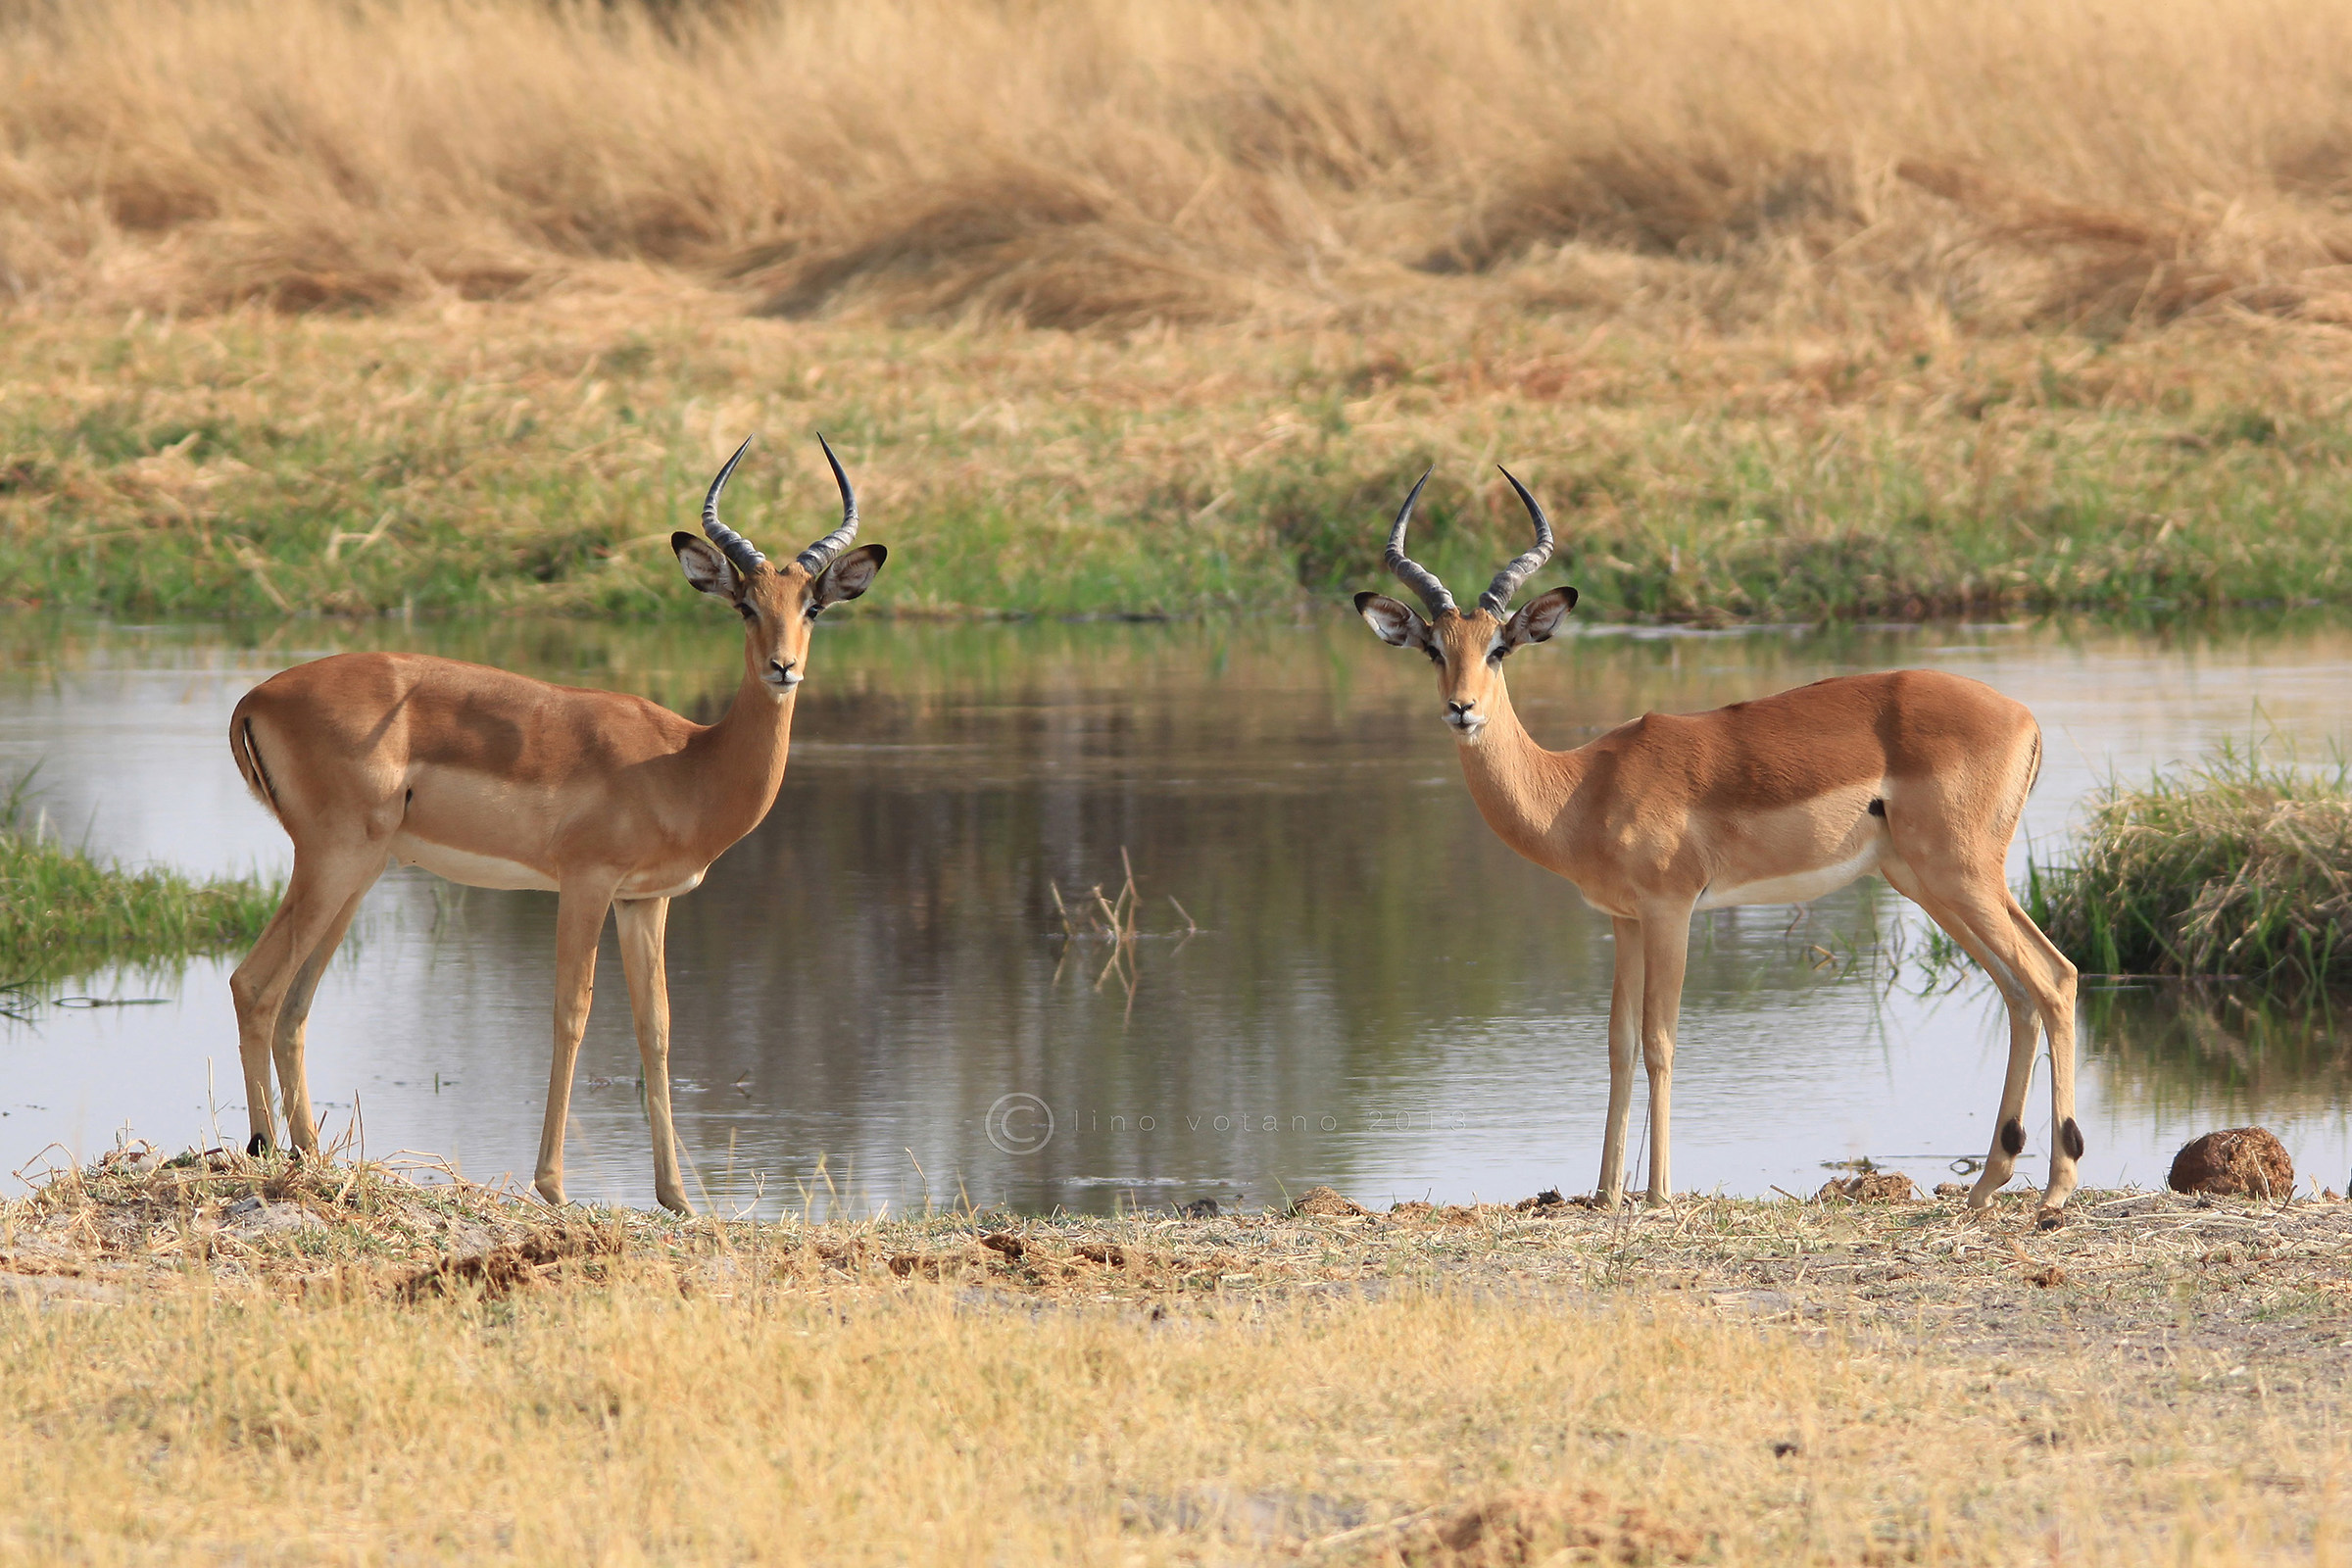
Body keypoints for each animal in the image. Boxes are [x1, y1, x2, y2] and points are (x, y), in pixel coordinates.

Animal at [227, 436, 884, 1214]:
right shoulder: (586, 884)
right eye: (746, 606)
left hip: (356, 875)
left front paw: (678, 1198)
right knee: (254, 985)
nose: (783, 668)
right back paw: (266, 1150)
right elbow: (572, 1012)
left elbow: (656, 1029)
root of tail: (255, 697)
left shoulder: (645, 901)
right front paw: (553, 1185)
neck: (686, 762)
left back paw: (311, 1157)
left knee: (295, 1002)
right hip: (333, 863)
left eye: (811, 607)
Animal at [1353, 472, 2081, 1215]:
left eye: (1498, 649)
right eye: (1435, 649)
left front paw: (1657, 1195)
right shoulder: (1624, 921)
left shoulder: (1670, 911)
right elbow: (1617, 1044)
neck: (1579, 787)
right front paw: (1605, 1193)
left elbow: (1660, 1041)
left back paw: (2056, 1188)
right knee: (2021, 991)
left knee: (2054, 978)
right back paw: (1988, 1185)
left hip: (1962, 877)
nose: (1462, 709)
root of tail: (2024, 718)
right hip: (1933, 883)